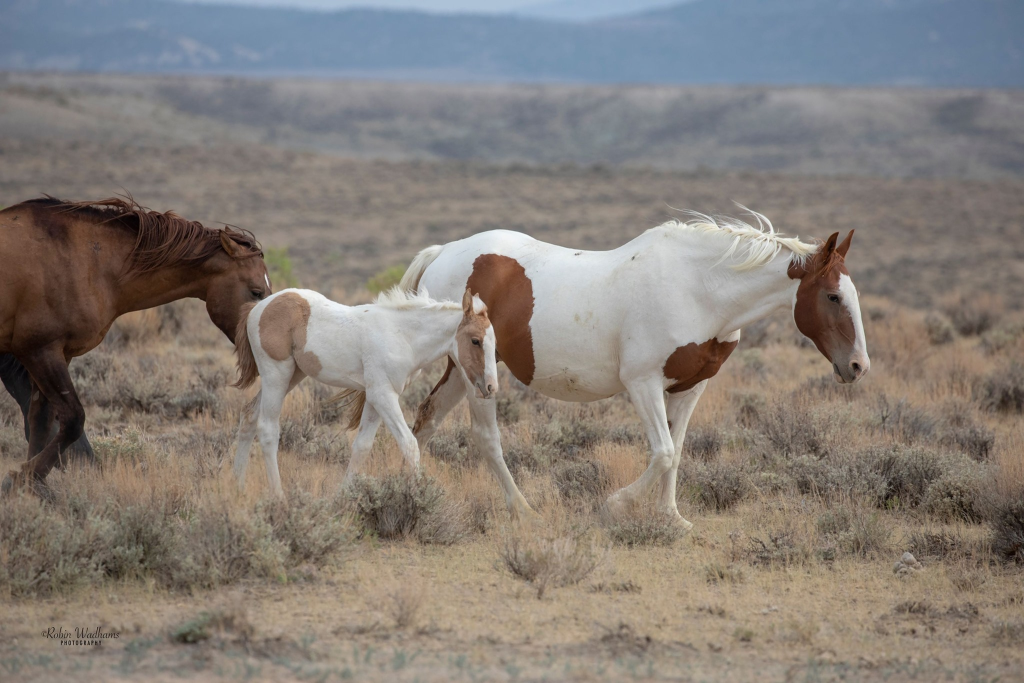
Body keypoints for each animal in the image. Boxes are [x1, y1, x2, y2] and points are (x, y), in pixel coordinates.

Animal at [0, 196, 271, 494]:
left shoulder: (57, 354)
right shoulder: (40, 351)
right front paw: (23, 477)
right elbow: (72, 419)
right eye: (256, 292)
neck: (86, 261)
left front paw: (26, 483)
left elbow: (40, 419)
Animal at [231, 286, 497, 498]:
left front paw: (343, 496)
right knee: (267, 428)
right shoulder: (383, 395)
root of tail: (257, 308)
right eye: (475, 340)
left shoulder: (374, 397)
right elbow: (409, 444)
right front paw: (417, 497)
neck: (402, 335)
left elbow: (362, 447)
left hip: (292, 375)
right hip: (277, 374)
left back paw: (239, 488)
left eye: (494, 343)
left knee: (249, 415)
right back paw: (279, 497)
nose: (491, 387)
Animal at [399, 211, 870, 527]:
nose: (857, 366)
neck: (699, 289)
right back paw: (524, 510)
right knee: (485, 438)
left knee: (425, 421)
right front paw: (613, 506)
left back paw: (413, 493)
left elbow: (677, 451)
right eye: (832, 296)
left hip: (463, 370)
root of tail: (443, 253)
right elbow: (662, 452)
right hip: (475, 375)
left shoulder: (689, 388)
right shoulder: (643, 384)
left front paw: (671, 517)